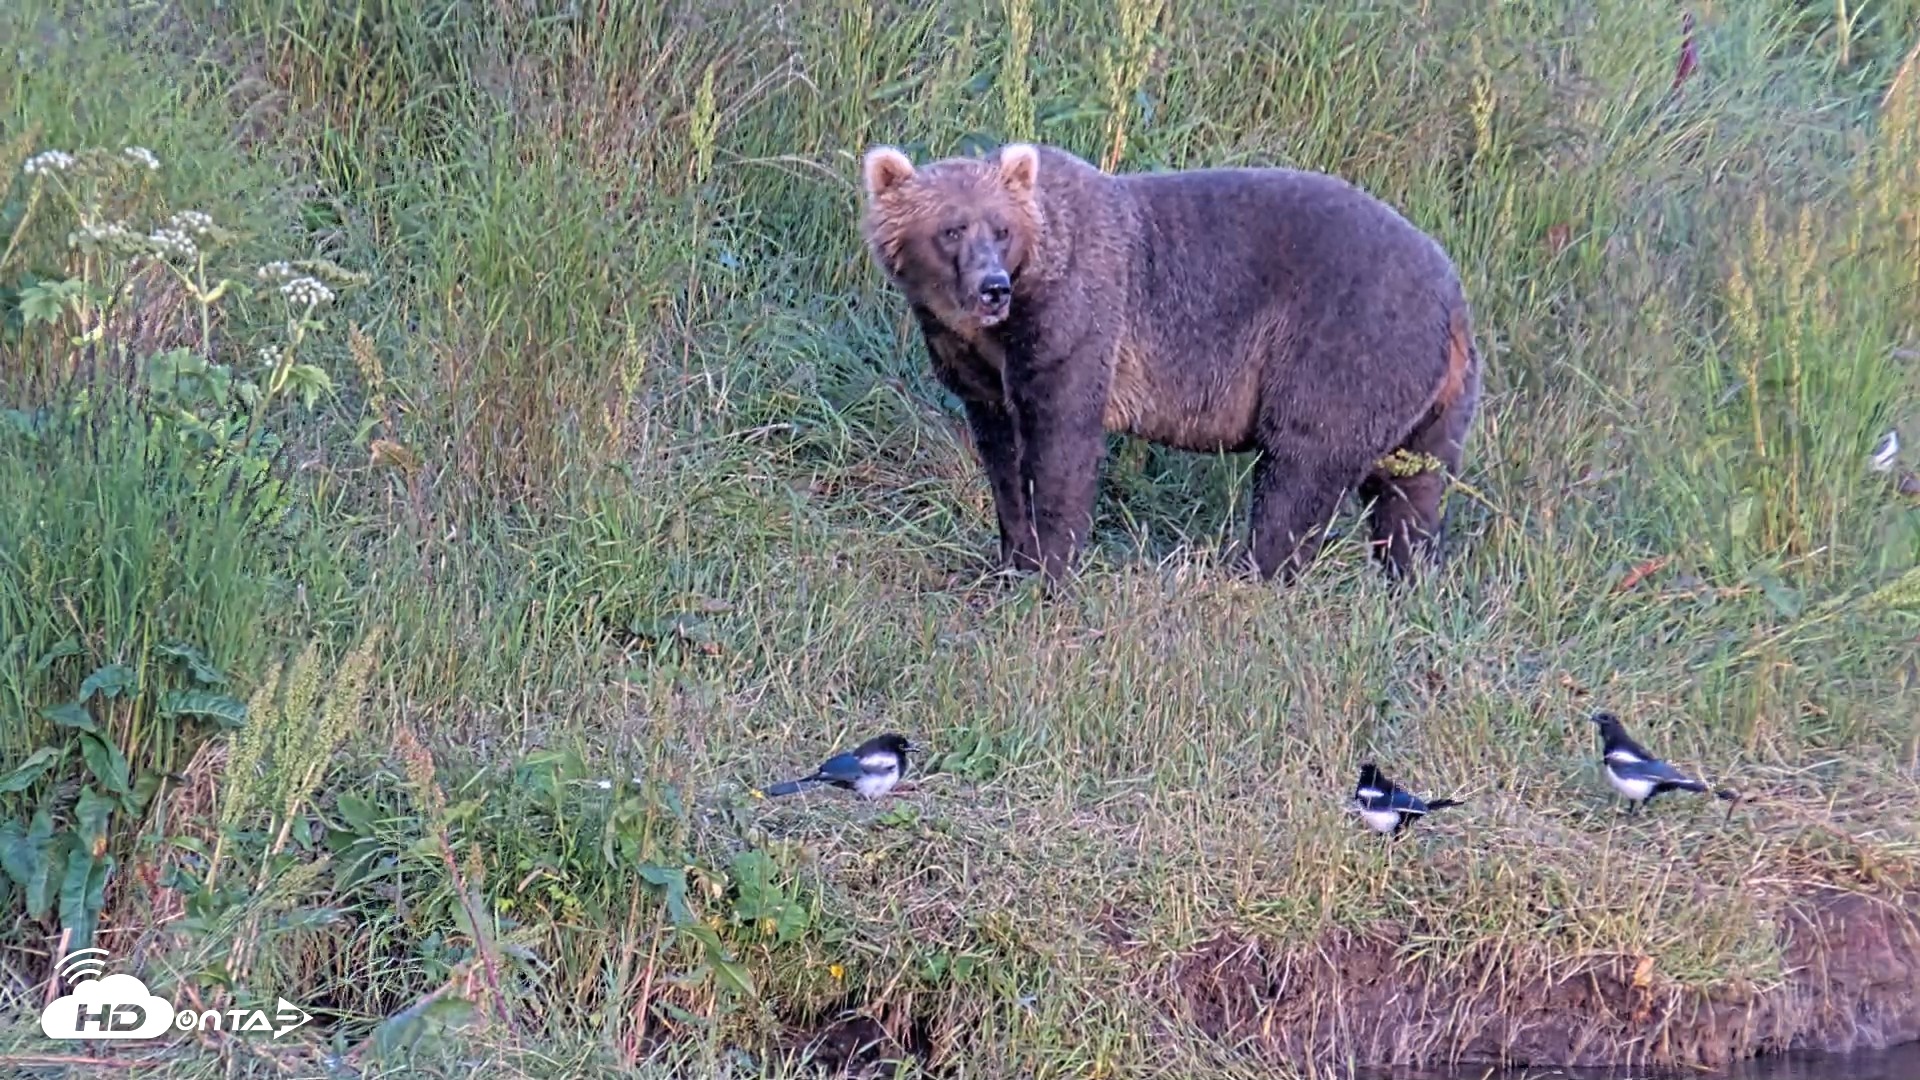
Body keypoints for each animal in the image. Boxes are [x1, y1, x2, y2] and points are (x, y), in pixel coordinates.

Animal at [858, 140, 1482, 587]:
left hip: (1346, 343)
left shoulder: (1073, 324)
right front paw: (1011, 557)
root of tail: (1454, 298)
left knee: (1302, 467)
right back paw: (1409, 575)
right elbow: (1002, 457)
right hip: (1432, 398)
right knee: (1414, 491)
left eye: (1002, 229)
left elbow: (1062, 444)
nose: (993, 287)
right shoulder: (979, 371)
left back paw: (1253, 574)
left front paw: (1049, 569)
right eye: (951, 229)